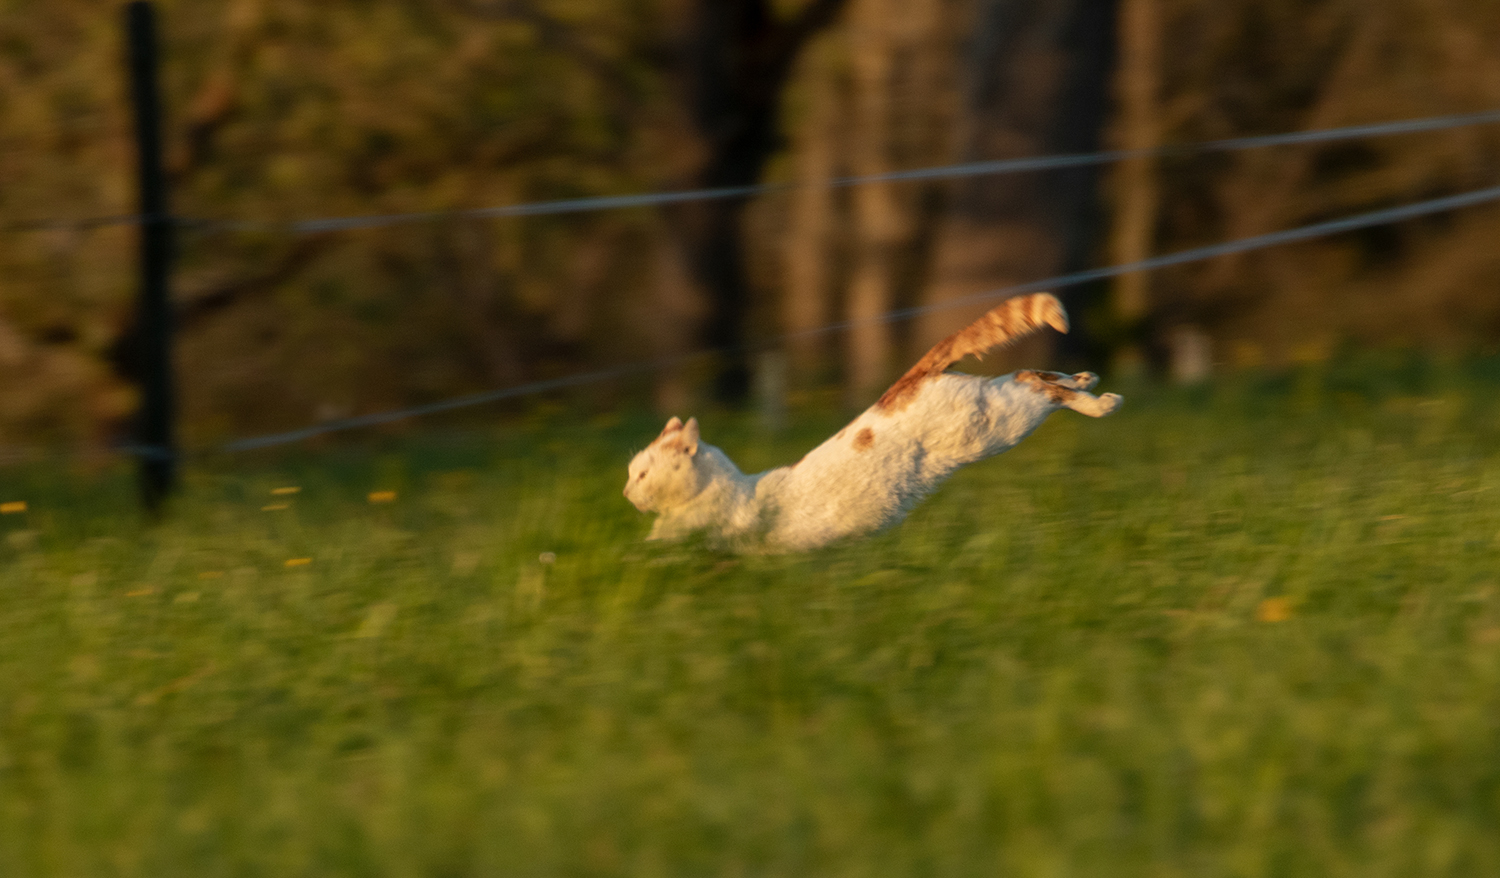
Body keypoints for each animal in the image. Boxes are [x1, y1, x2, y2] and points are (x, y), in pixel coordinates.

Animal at [621, 292, 1128, 546]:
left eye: (642, 474)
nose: (625, 492)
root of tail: (906, 380)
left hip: (996, 427)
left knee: (1039, 387)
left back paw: (1101, 401)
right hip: (997, 405)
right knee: (1030, 374)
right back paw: (1086, 379)